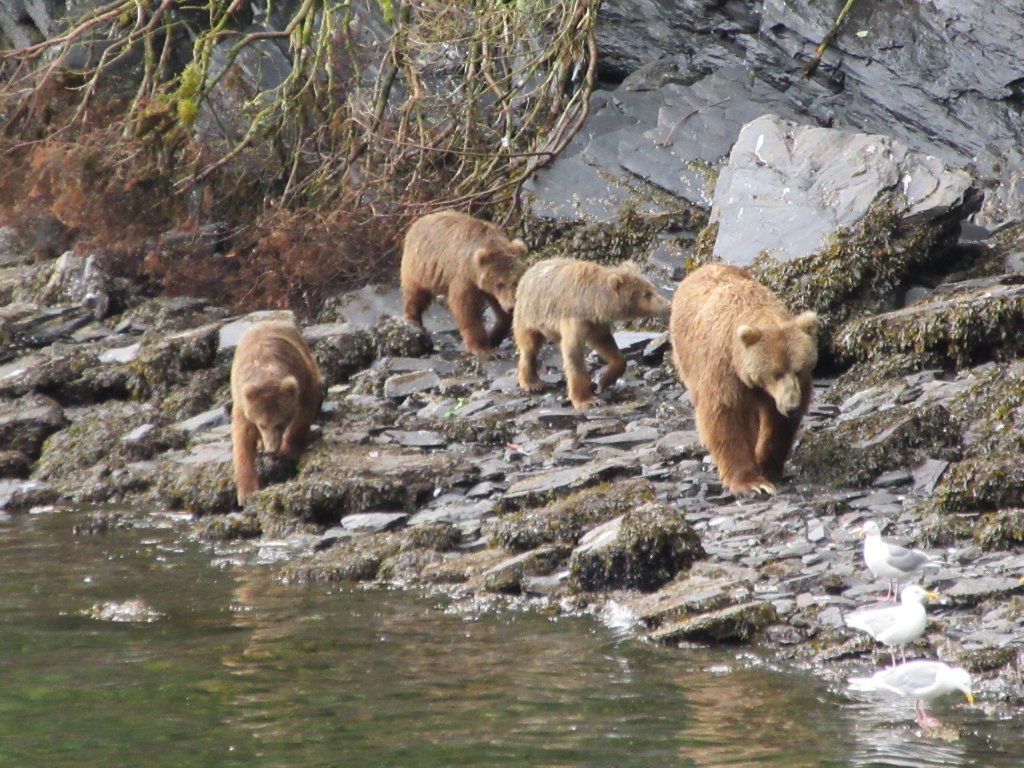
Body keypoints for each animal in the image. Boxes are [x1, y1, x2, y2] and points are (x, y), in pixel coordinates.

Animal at [230, 321, 322, 506]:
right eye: (262, 424)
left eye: (280, 423)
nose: (271, 449)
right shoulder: (243, 401)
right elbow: (243, 438)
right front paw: (246, 491)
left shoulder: (301, 379)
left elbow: (302, 414)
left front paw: (288, 449)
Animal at [400, 210, 528, 355]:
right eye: (500, 284)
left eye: (516, 281)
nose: (511, 307)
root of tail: (418, 221)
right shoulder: (464, 277)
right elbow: (465, 307)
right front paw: (483, 348)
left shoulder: (487, 288)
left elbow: (501, 312)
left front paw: (493, 337)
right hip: (420, 267)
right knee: (416, 294)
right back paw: (413, 321)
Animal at [513, 258, 671, 409]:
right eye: (646, 294)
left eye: (651, 288)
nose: (668, 306)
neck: (592, 302)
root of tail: (528, 270)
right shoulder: (574, 320)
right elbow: (574, 354)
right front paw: (588, 399)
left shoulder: (596, 323)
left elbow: (607, 344)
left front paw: (604, 380)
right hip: (529, 315)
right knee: (529, 347)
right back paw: (532, 383)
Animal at [669, 263, 818, 496]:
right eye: (775, 373)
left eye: (799, 370)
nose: (791, 406)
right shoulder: (724, 372)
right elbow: (725, 417)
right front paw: (753, 482)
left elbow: (777, 425)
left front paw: (767, 466)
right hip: (687, 358)